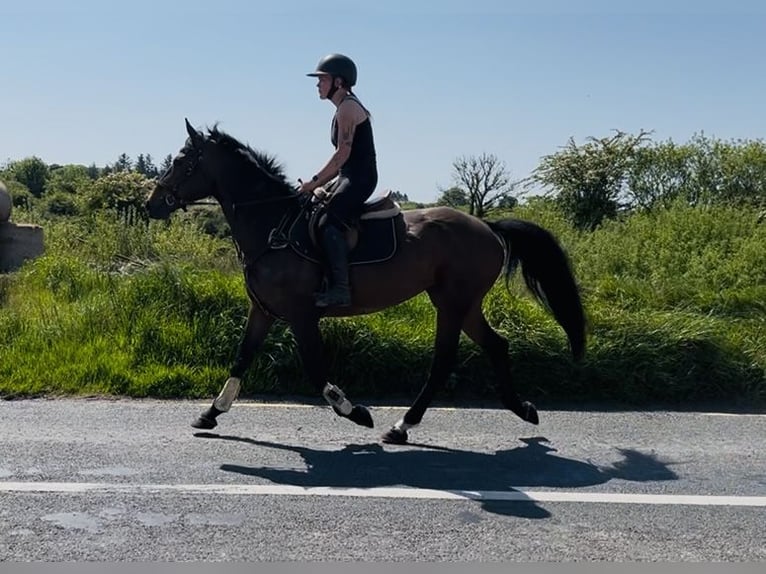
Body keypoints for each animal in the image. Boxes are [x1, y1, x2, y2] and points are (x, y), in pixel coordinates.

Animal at [144, 119, 586, 444]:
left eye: (182, 161)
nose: (152, 204)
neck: (272, 226)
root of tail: (487, 227)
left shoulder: (302, 315)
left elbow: (316, 370)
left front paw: (356, 412)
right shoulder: (263, 310)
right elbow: (241, 358)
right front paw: (210, 413)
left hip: (452, 302)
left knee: (443, 361)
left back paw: (402, 425)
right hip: (465, 303)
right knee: (496, 345)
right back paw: (523, 409)